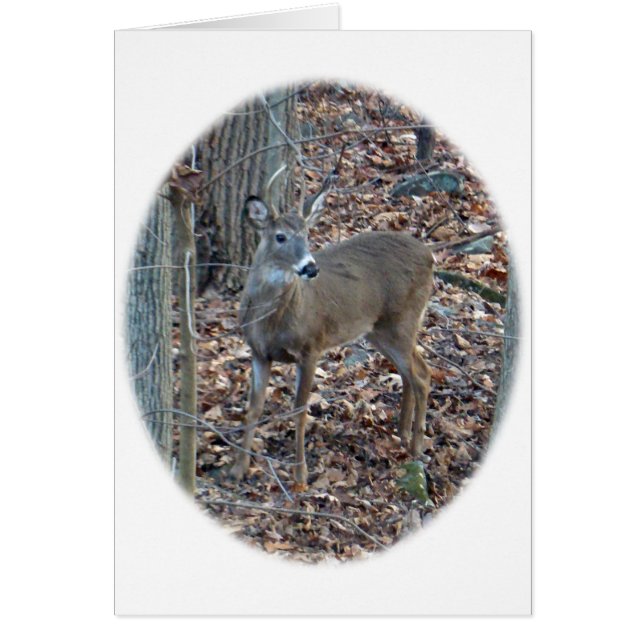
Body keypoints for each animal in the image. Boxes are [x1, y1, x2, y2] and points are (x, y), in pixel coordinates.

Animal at [229, 167, 434, 489]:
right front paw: (238, 469)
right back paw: (401, 434)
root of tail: (431, 256)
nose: (310, 267)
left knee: (423, 374)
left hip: (403, 321)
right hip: (379, 330)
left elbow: (299, 410)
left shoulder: (311, 346)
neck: (272, 321)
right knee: (409, 373)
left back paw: (416, 447)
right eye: (280, 236)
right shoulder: (259, 352)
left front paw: (300, 475)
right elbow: (254, 408)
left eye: (307, 235)